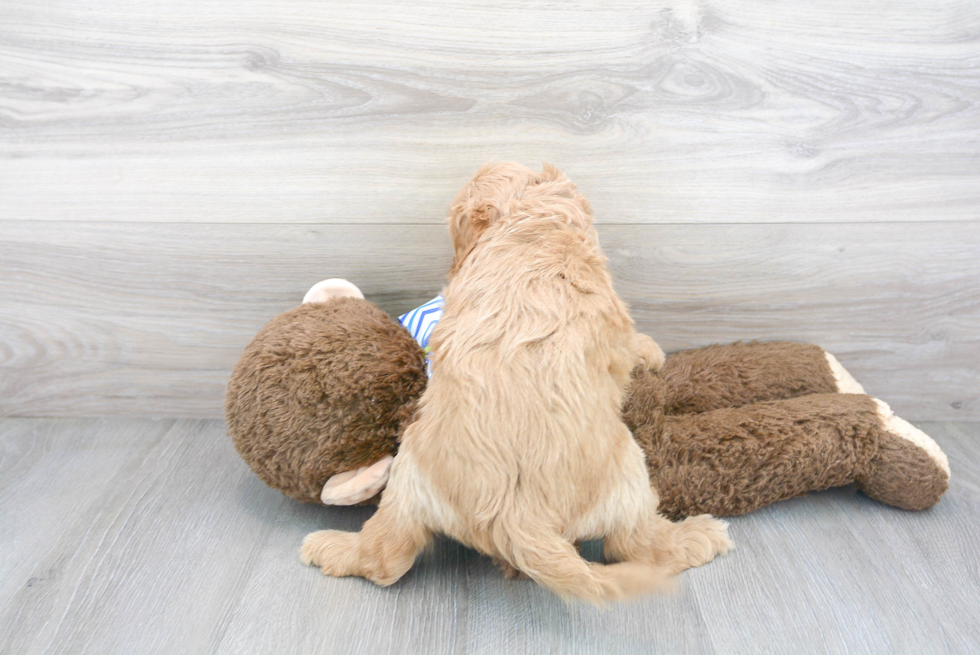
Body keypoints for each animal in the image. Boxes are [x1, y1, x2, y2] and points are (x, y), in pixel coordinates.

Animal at [302, 161, 732, 604]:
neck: (531, 223)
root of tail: (519, 519)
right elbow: (631, 346)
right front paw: (651, 349)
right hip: (630, 473)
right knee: (638, 545)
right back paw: (699, 536)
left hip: (408, 473)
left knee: (386, 557)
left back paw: (329, 548)